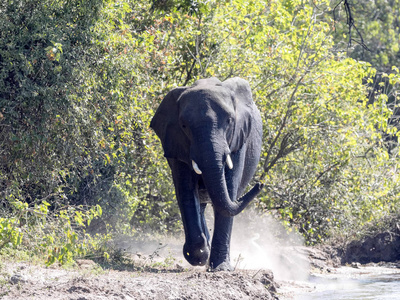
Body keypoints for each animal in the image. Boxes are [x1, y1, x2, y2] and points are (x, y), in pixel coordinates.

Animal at [150, 76, 262, 270]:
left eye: (229, 121)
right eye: (184, 125)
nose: (260, 184)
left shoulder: (238, 140)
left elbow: (229, 191)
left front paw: (220, 268)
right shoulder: (176, 142)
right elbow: (186, 191)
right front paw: (199, 256)